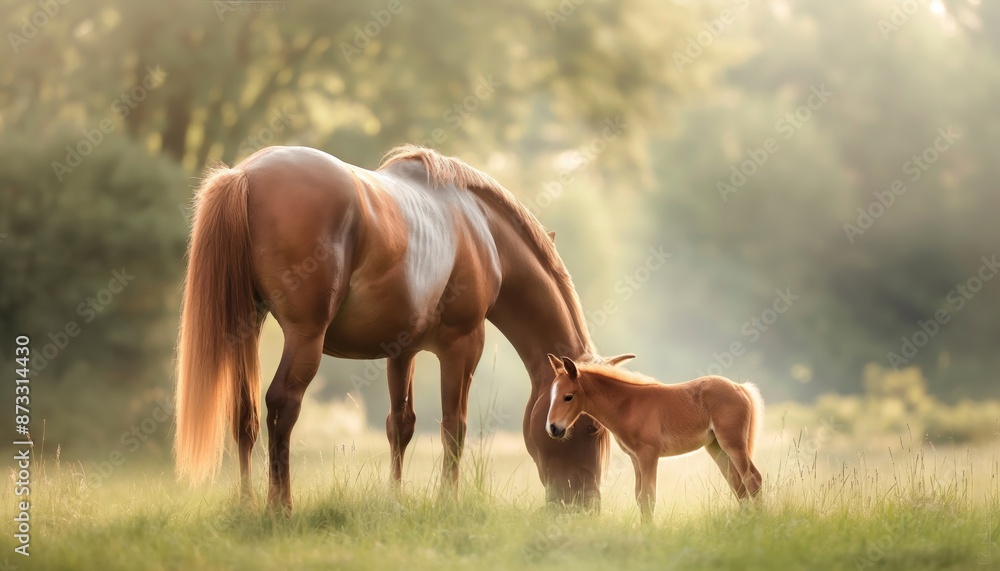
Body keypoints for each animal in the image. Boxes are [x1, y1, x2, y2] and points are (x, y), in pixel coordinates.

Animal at [173, 144, 634, 511]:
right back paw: (280, 506)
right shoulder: (463, 347)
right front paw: (448, 502)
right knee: (282, 405)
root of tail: (246, 175)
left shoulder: (401, 352)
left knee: (245, 414)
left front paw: (395, 500)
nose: (584, 504)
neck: (480, 230)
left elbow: (401, 425)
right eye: (589, 424)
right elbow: (453, 427)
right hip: (304, 338)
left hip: (246, 327)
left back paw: (247, 503)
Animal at [544, 354, 764, 522]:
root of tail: (740, 388)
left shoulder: (649, 454)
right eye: (551, 396)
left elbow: (649, 497)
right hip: (716, 448)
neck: (628, 405)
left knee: (753, 479)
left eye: (568, 397)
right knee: (738, 485)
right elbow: (640, 497)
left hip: (733, 444)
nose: (553, 428)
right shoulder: (635, 458)